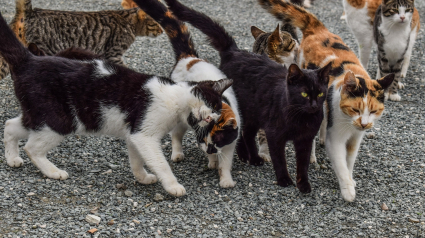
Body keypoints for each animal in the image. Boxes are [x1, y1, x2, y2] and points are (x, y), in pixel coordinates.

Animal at [0, 13, 232, 198]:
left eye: (216, 116)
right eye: (212, 105)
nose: (211, 117)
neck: (175, 98)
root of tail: (30, 60)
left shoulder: (135, 135)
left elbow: (137, 161)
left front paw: (143, 178)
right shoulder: (145, 135)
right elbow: (161, 164)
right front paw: (173, 186)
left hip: (40, 115)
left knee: (10, 125)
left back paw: (12, 158)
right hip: (60, 120)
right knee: (31, 148)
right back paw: (53, 171)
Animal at [132, 0, 240, 188]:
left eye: (217, 141)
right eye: (203, 140)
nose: (209, 149)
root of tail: (189, 57)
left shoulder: (230, 144)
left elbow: (225, 163)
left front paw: (225, 178)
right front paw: (213, 161)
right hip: (179, 119)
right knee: (176, 135)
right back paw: (177, 154)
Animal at [162, 0, 332, 193]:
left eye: (320, 93)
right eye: (290, 41)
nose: (297, 42)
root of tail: (234, 51)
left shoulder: (305, 137)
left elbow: (303, 160)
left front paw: (305, 178)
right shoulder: (273, 131)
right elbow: (275, 153)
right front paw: (278, 172)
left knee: (247, 133)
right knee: (244, 133)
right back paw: (248, 155)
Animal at [258, 0, 394, 203]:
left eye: (374, 111)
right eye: (355, 109)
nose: (364, 124)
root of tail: (318, 29)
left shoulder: (355, 139)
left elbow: (349, 161)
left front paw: (351, 179)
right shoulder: (336, 136)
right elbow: (341, 164)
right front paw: (348, 190)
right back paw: (313, 154)